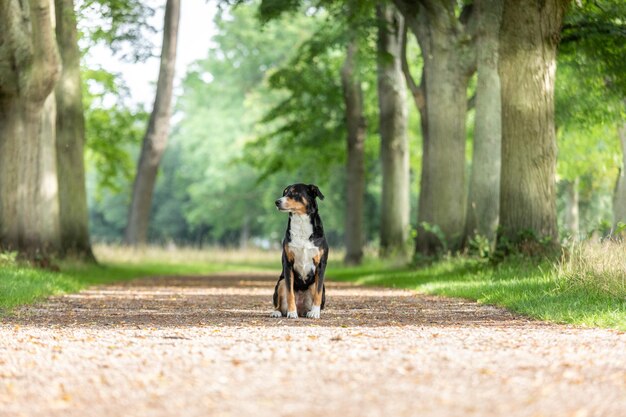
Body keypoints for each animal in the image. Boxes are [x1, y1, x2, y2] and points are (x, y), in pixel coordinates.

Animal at [268, 183, 326, 318]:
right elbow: (290, 294)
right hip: (281, 282)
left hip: (316, 285)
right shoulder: (288, 264)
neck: (301, 224)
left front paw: (315, 313)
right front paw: (292, 313)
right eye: (284, 193)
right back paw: (277, 312)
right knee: (279, 304)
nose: (277, 202)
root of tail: (301, 309)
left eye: (294, 193)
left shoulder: (320, 265)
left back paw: (310, 311)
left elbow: (318, 293)